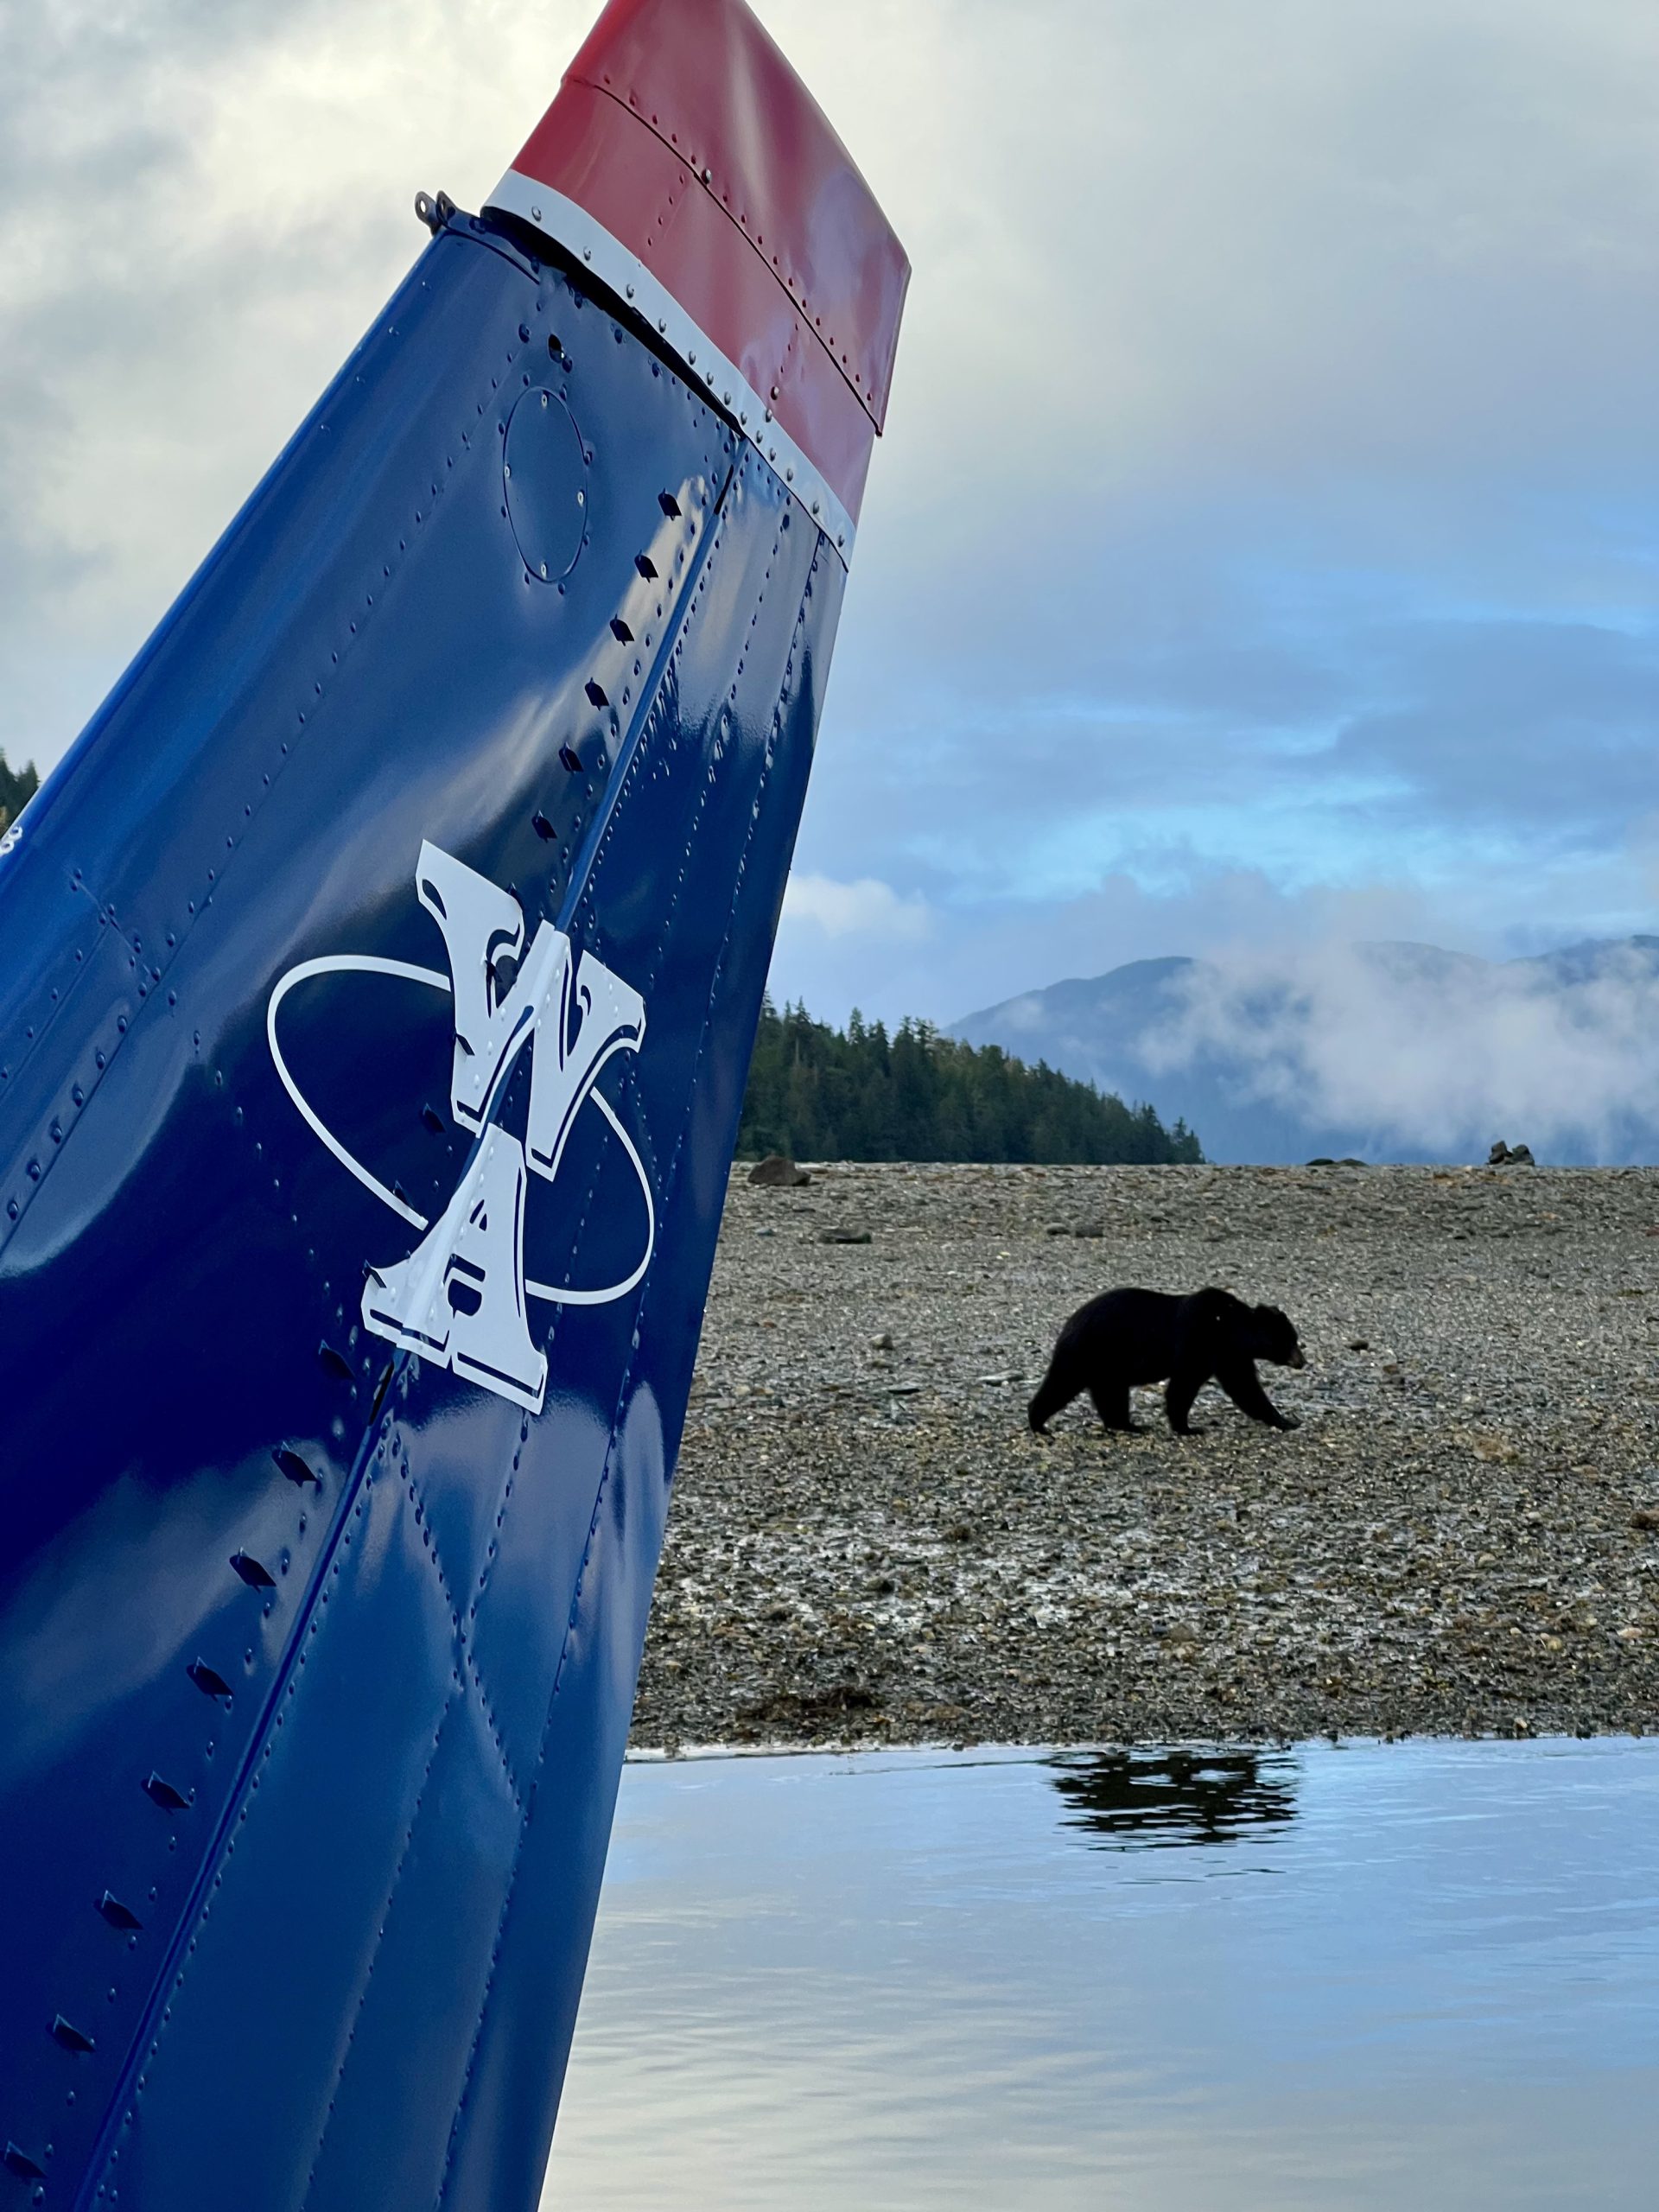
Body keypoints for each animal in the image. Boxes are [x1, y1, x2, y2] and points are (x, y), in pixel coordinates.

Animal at [1027, 1285, 1306, 1439]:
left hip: (1108, 1364)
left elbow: (1244, 1386)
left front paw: (1286, 1420)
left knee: (1111, 1393)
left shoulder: (1229, 1354)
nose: (1302, 1361)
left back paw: (1128, 1425)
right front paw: (1188, 1427)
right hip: (1091, 1350)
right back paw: (1039, 1423)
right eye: (1290, 1340)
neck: (1229, 1328)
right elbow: (1185, 1385)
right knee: (1062, 1383)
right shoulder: (1198, 1340)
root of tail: (1069, 1323)